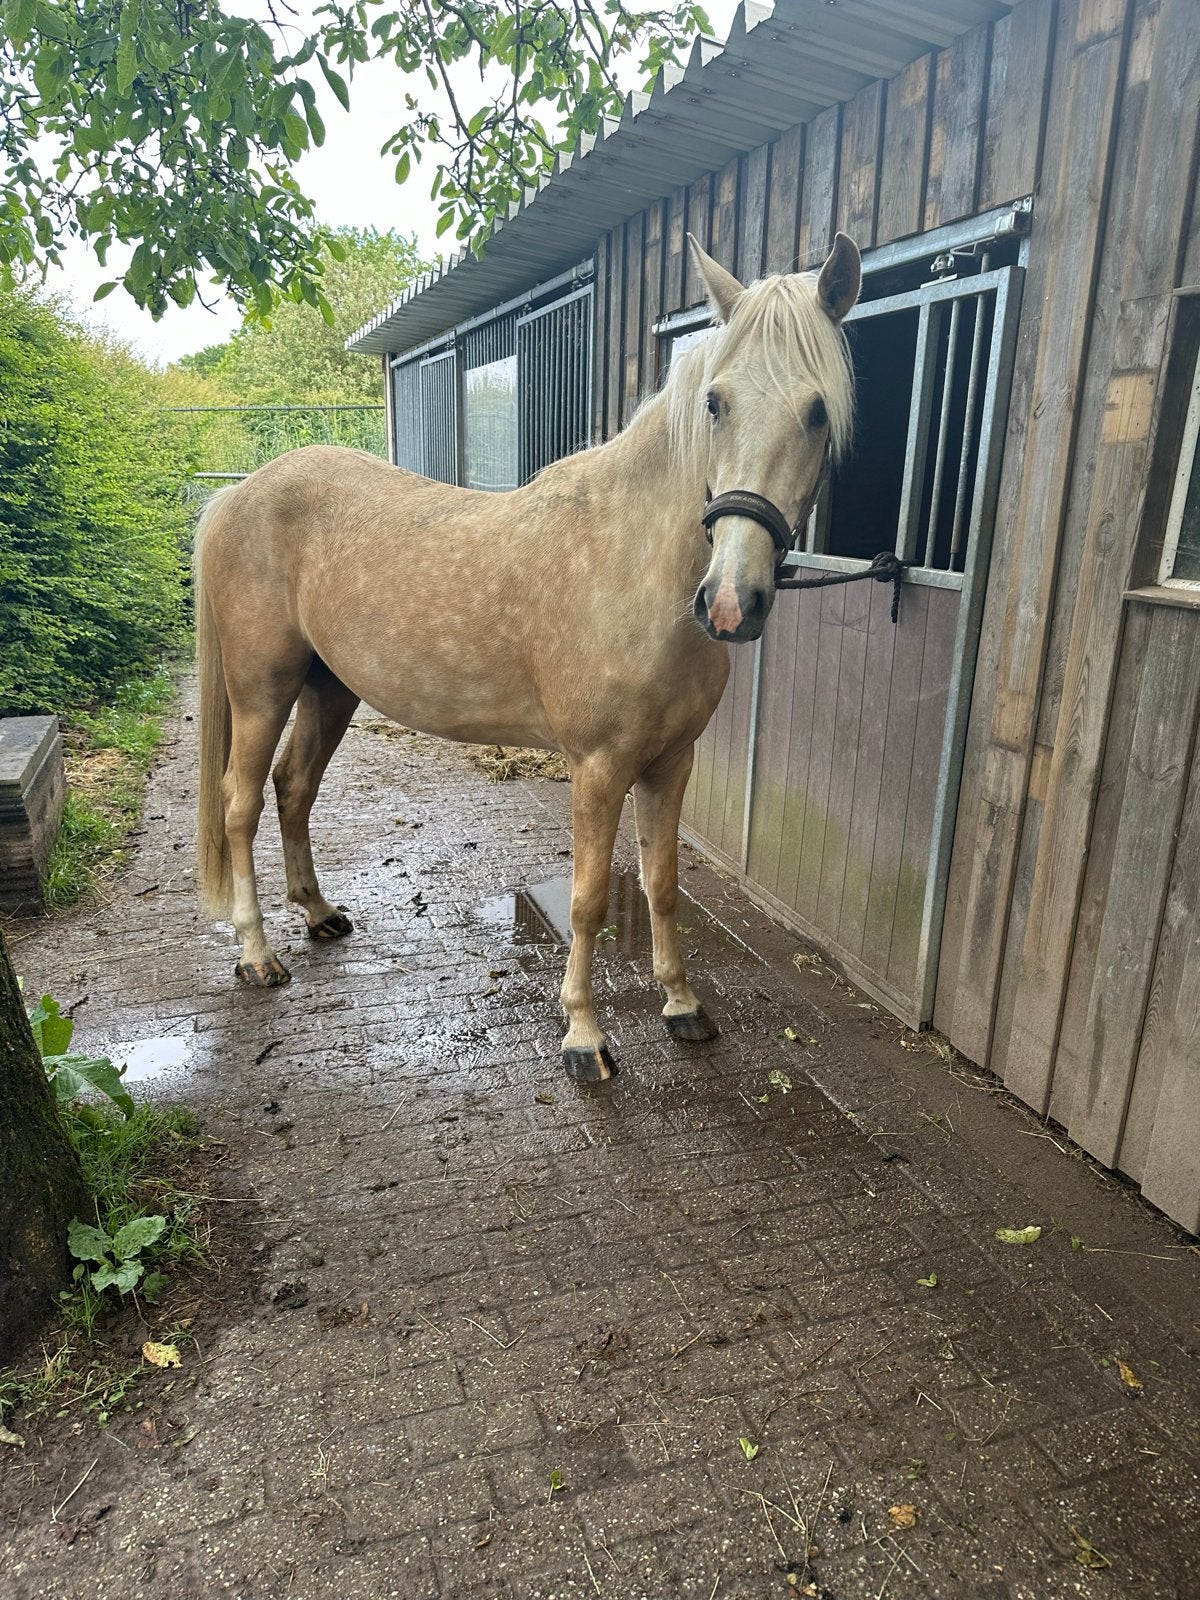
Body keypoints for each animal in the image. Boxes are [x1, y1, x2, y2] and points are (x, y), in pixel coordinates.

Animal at [194, 233, 860, 1082]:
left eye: (818, 410)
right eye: (716, 402)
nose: (731, 603)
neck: (634, 567)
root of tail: (239, 493)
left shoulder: (671, 761)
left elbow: (663, 884)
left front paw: (682, 1005)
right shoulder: (600, 767)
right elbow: (588, 900)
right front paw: (584, 1037)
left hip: (330, 688)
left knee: (294, 788)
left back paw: (319, 914)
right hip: (262, 687)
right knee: (241, 803)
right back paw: (256, 956)